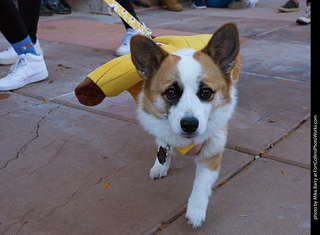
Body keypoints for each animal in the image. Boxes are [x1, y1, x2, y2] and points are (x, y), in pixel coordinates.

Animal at [130, 23, 240, 228]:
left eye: (206, 92)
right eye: (171, 92)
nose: (189, 125)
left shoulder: (212, 150)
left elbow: (201, 183)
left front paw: (195, 210)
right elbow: (163, 147)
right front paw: (160, 165)